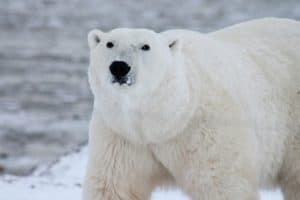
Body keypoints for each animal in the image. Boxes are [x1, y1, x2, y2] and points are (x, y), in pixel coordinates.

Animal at [82, 18, 300, 199]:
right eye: (109, 43)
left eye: (145, 46)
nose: (119, 66)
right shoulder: (122, 135)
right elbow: (115, 186)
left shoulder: (204, 130)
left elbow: (221, 185)